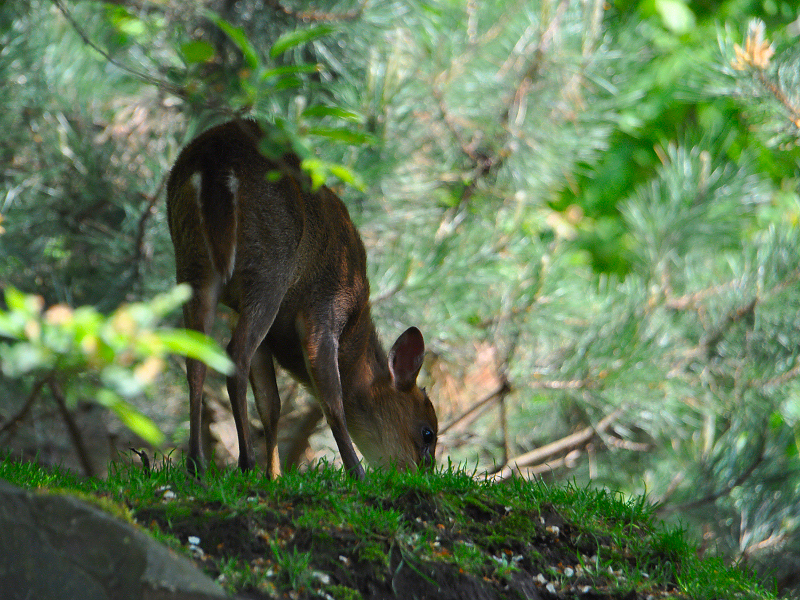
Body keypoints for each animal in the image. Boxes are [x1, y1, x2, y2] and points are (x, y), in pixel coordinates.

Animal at [167, 119, 438, 480]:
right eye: (428, 432)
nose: (422, 474)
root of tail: (214, 161)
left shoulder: (257, 326)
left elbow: (271, 403)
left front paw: (274, 475)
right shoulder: (325, 306)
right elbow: (332, 399)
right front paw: (357, 473)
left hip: (191, 262)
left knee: (196, 357)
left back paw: (197, 463)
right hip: (270, 266)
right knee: (235, 354)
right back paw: (243, 462)